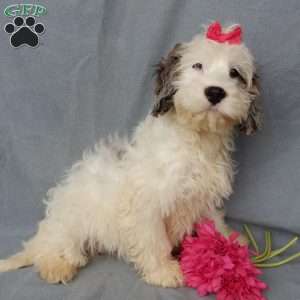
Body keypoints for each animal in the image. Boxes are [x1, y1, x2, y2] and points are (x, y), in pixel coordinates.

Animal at [0, 22, 262, 288]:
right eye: (197, 65)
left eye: (235, 73)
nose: (215, 92)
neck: (196, 140)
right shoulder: (148, 202)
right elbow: (154, 239)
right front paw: (163, 271)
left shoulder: (203, 195)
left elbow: (214, 221)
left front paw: (229, 243)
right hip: (70, 221)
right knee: (50, 248)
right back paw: (56, 265)